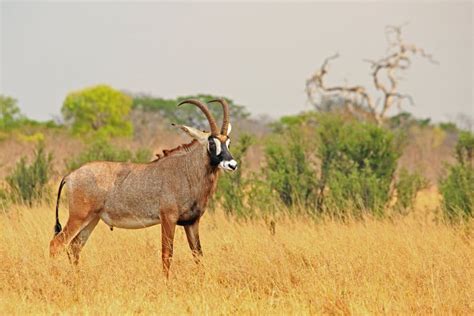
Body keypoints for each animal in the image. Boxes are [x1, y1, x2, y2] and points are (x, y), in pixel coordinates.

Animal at [49, 99, 237, 276]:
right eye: (211, 143)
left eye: (228, 142)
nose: (232, 164)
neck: (186, 170)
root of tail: (70, 176)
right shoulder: (168, 218)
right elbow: (167, 254)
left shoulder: (192, 222)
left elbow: (198, 255)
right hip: (78, 217)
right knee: (56, 244)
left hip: (92, 219)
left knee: (74, 247)